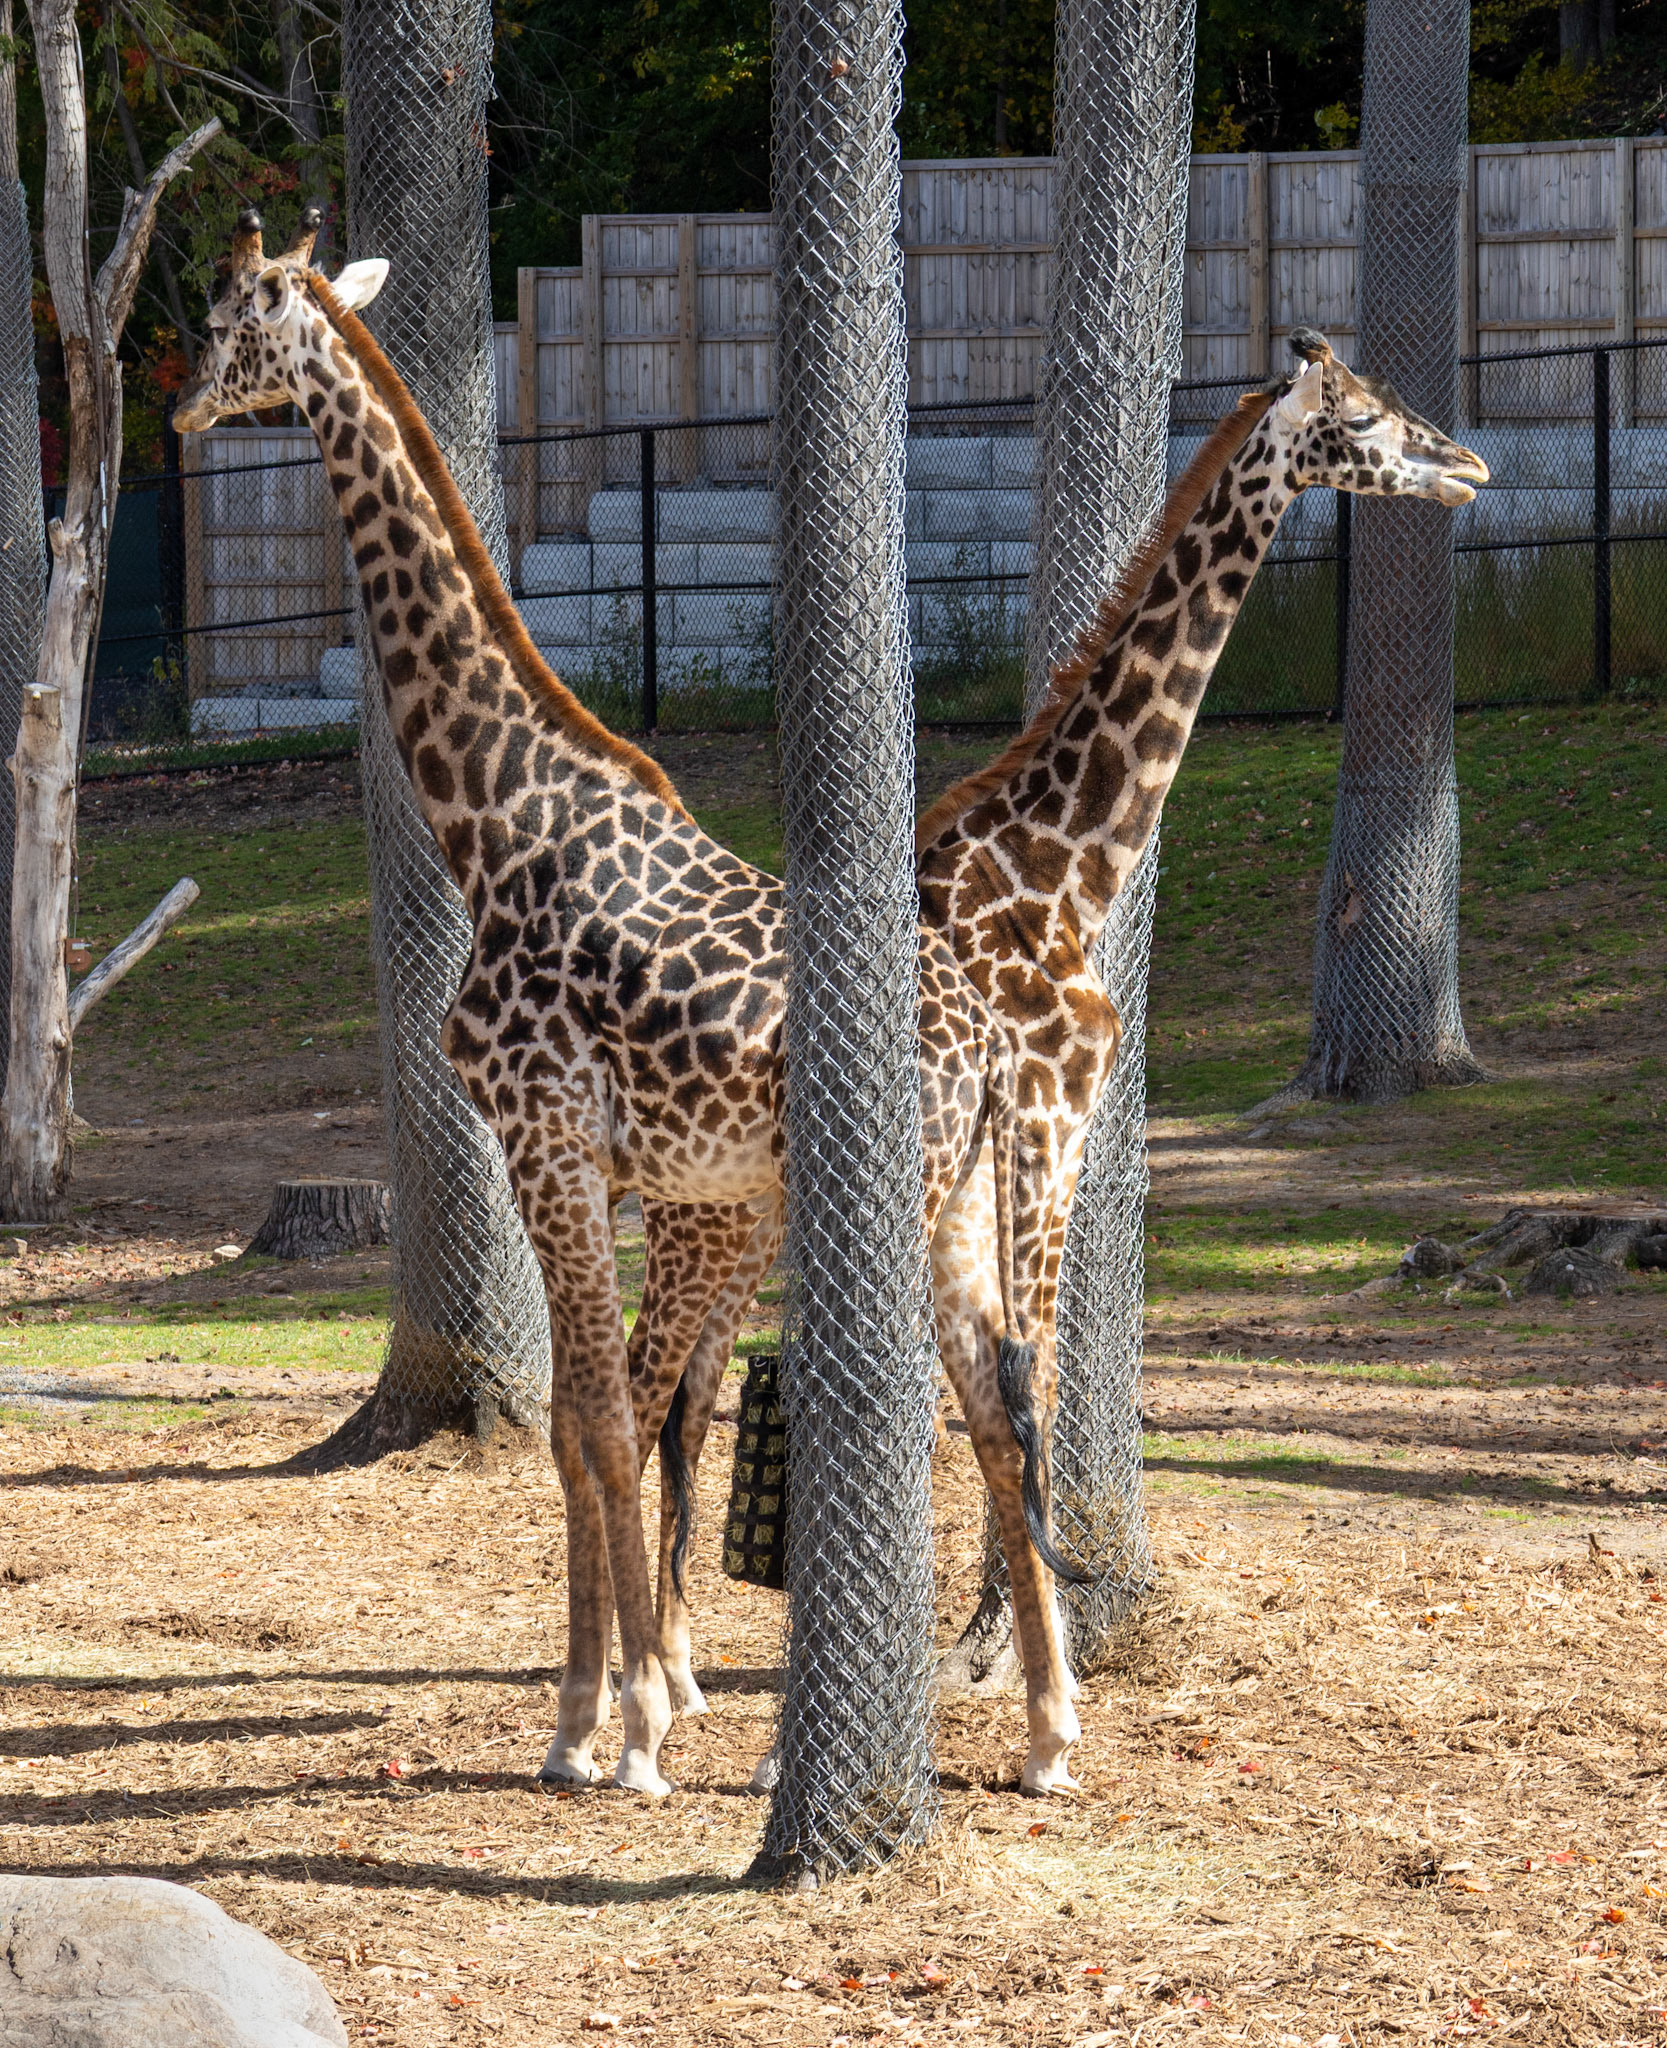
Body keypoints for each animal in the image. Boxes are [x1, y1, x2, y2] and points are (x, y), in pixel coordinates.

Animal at [171, 211, 1075, 1798]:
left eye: (227, 315)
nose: (172, 414)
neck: (491, 817)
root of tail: (988, 1050)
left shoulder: (543, 1135)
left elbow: (596, 1414)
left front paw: (618, 1725)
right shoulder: (595, 1160)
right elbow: (588, 1416)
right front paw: (597, 1709)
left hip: (889, 1190)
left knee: (913, 1409)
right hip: (958, 1192)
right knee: (996, 1406)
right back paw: (1041, 1734)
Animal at [641, 328, 1490, 1777]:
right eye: (1368, 416)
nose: (1470, 465)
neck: (1057, 873)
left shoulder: (1034, 1136)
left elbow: (991, 1395)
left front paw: (1036, 1686)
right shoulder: (1042, 1114)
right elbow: (1017, 1382)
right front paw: (1041, 1720)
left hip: (752, 1205)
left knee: (688, 1382)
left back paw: (682, 1680)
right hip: (735, 1203)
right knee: (659, 1376)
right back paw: (648, 1704)